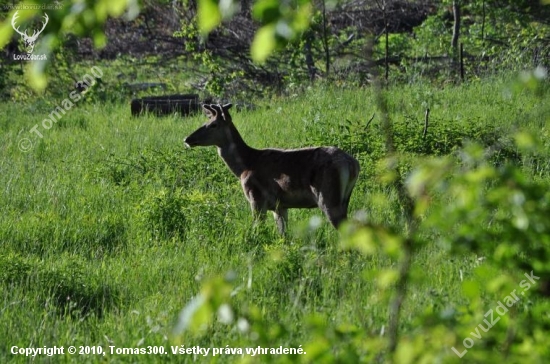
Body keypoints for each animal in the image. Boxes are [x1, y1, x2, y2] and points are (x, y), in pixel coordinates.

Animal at [185, 102, 362, 235]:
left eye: (213, 124)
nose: (187, 139)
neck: (244, 166)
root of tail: (352, 164)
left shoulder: (256, 198)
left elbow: (258, 229)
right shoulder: (280, 206)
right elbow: (283, 234)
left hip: (328, 196)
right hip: (344, 198)